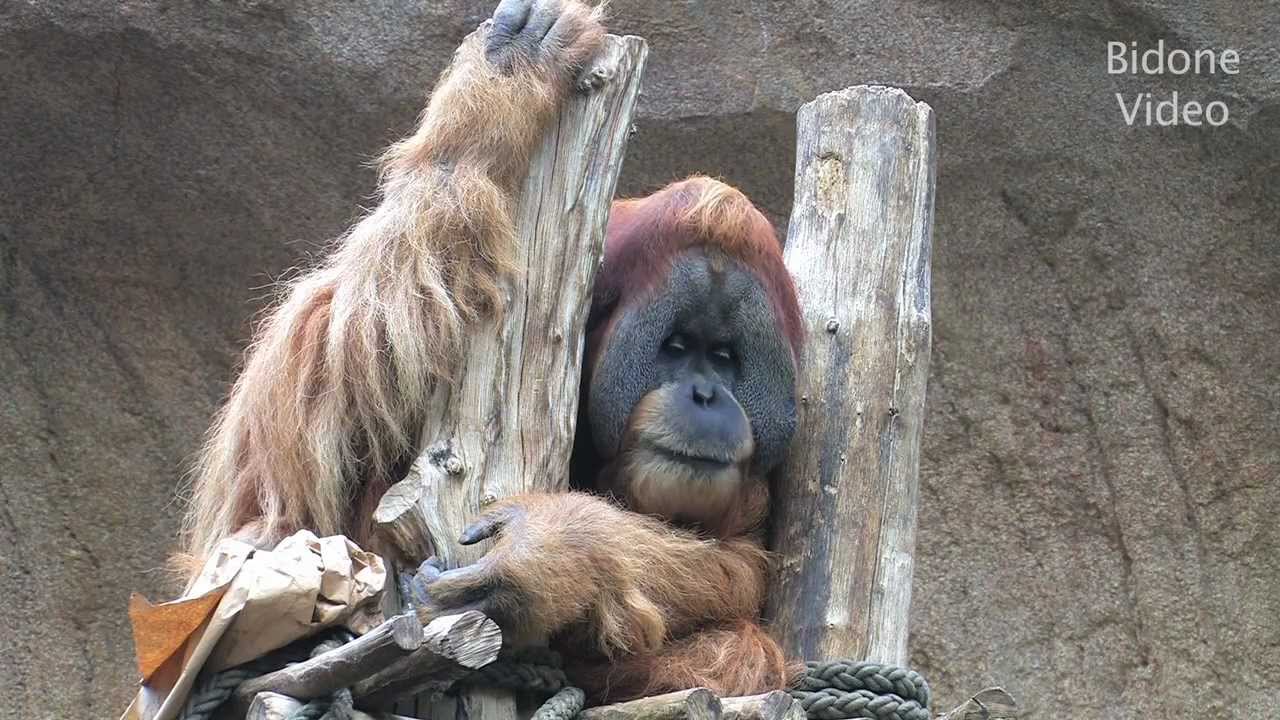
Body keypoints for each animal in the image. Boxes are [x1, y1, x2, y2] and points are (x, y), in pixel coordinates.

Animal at [178, 0, 801, 704]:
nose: (705, 394)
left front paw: (553, 552)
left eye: (723, 357)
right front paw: (504, 83)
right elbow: (308, 423)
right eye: (676, 347)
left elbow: (739, 566)